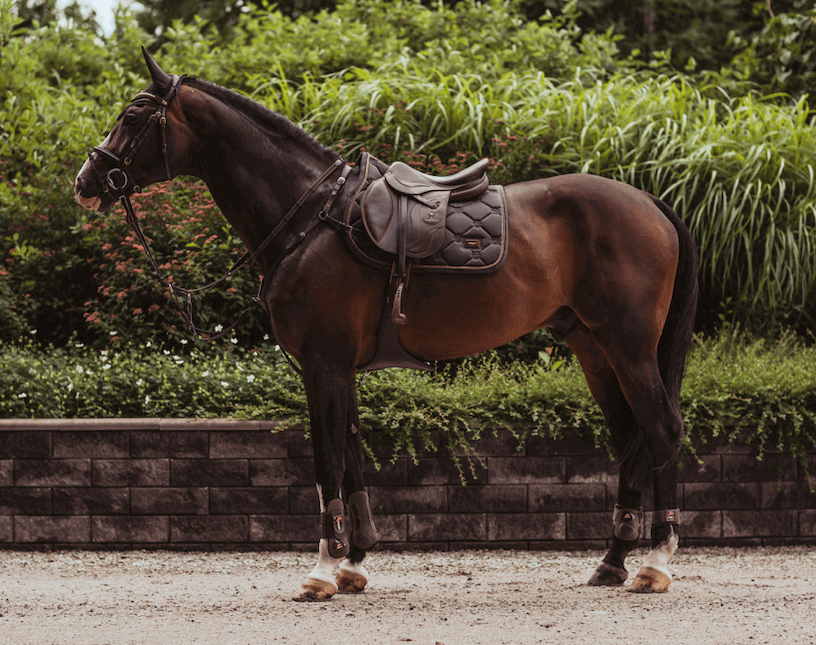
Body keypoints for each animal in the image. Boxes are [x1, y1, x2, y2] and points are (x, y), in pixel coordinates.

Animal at [74, 49, 699, 600]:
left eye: (133, 113)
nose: (86, 180)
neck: (311, 217)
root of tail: (651, 202)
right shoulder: (338, 368)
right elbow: (351, 455)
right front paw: (354, 562)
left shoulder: (323, 365)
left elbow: (327, 460)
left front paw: (323, 570)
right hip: (594, 350)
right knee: (632, 439)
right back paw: (612, 560)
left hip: (630, 348)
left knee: (663, 431)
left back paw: (655, 563)